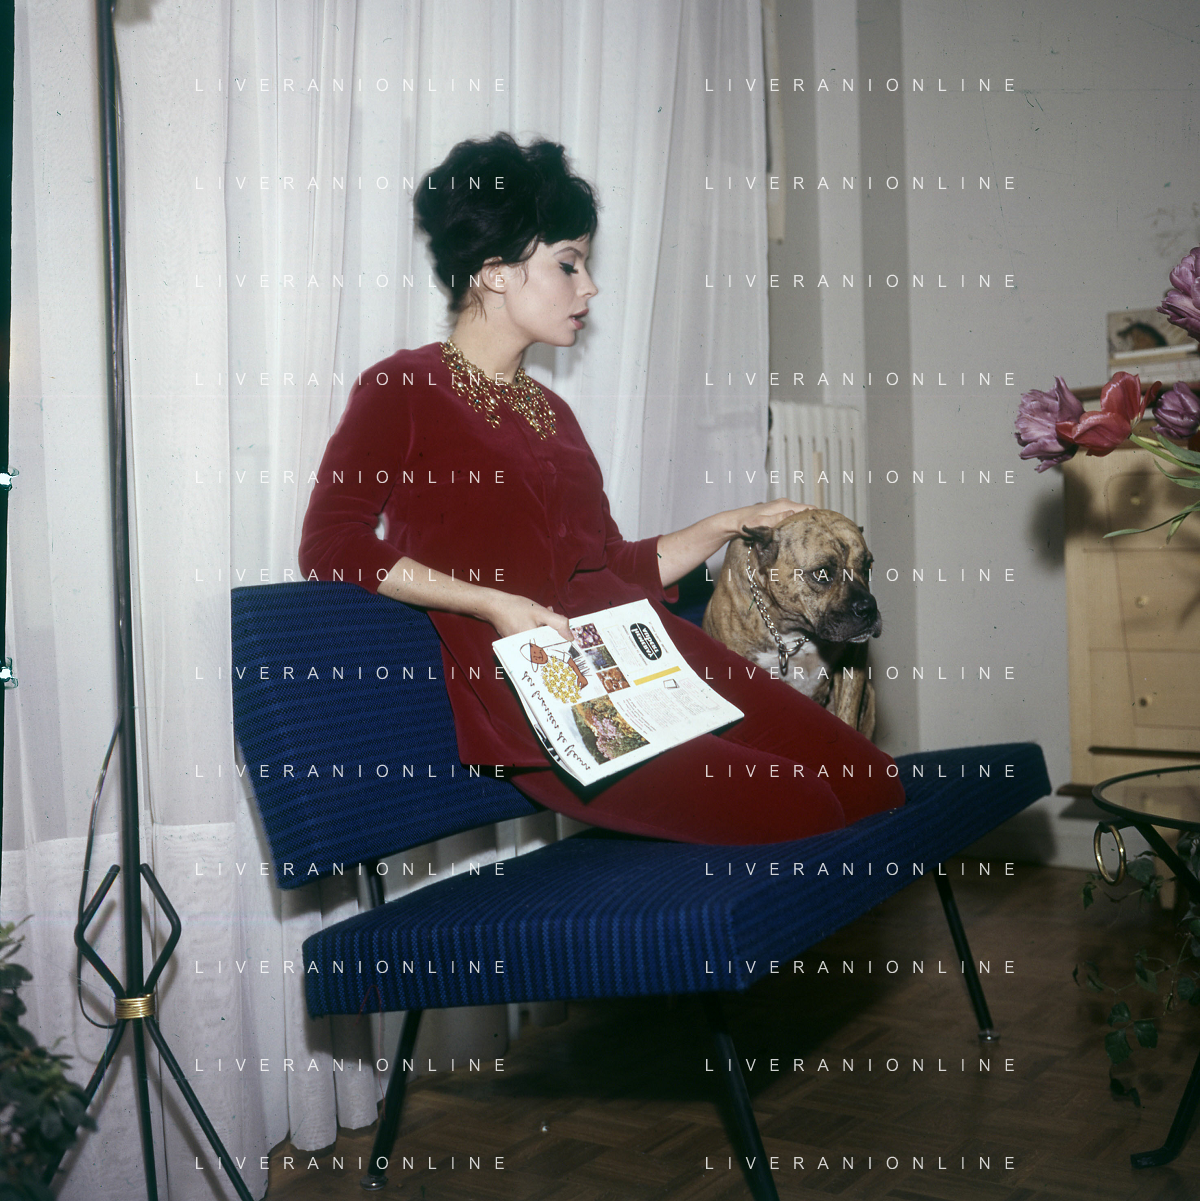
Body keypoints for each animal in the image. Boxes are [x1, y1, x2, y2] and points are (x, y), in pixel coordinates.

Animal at [702, 509, 880, 737]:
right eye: (822, 573)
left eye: (868, 565)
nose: (868, 608)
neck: (793, 630)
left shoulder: (853, 663)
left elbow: (847, 713)